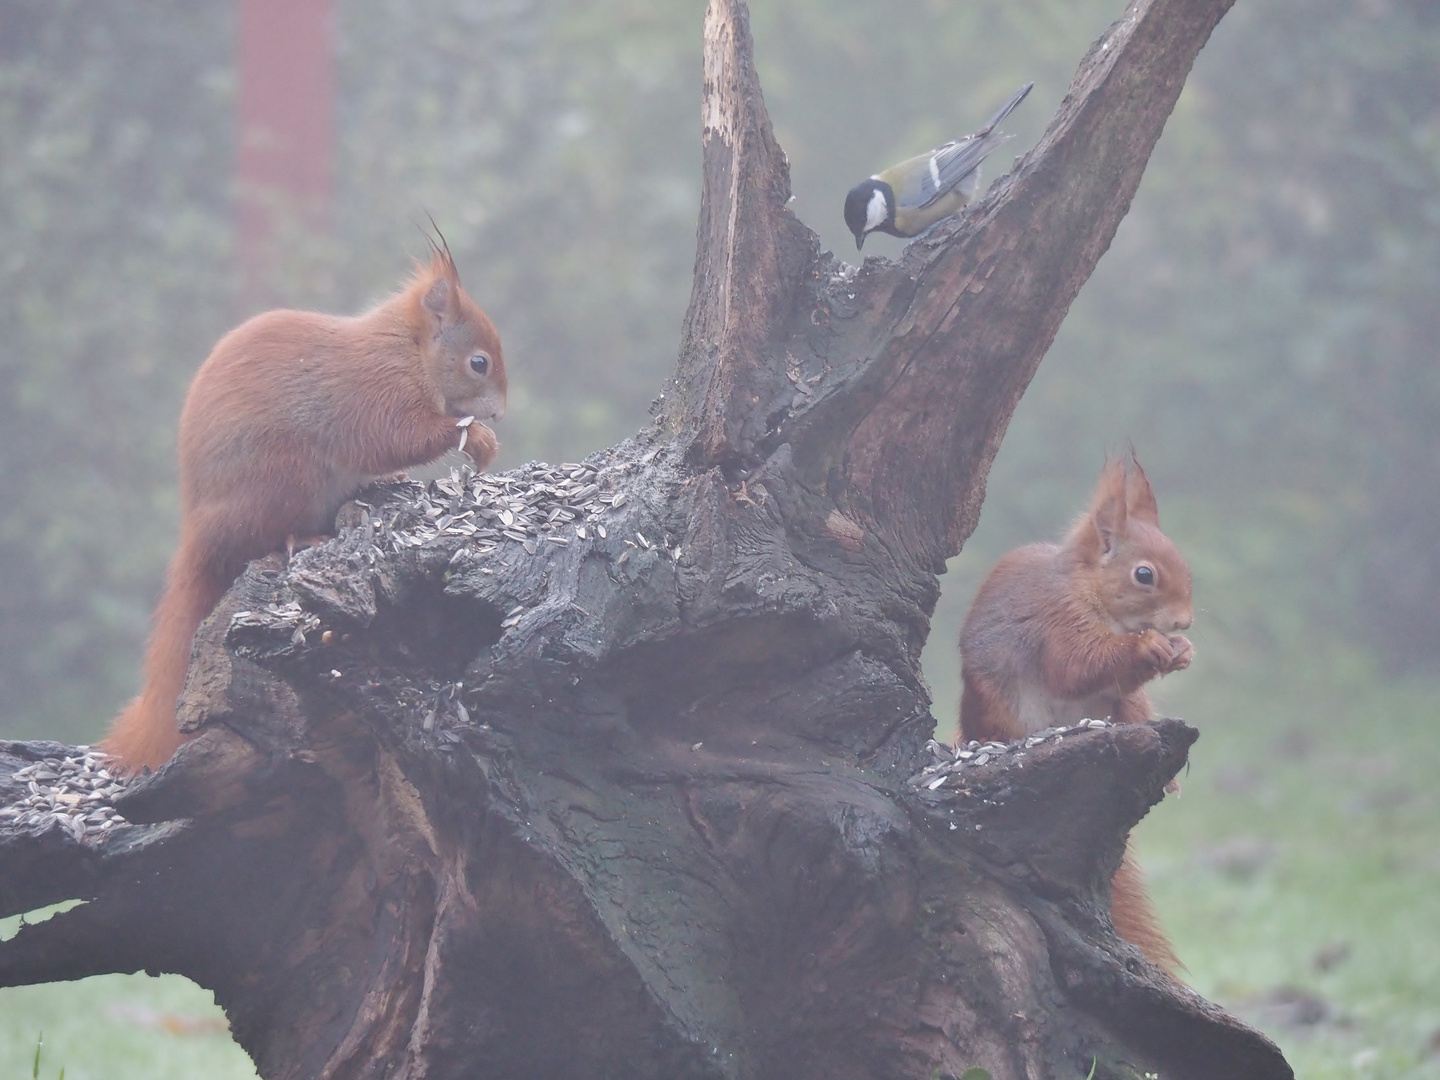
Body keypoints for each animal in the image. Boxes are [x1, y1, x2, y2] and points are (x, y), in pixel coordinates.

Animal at [102, 249, 506, 771]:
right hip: (285, 479)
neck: (408, 348)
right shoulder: (374, 391)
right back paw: (303, 536)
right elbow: (396, 437)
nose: (499, 411)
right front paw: (476, 438)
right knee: (266, 537)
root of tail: (199, 534)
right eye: (479, 363)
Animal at [956, 457, 1192, 973]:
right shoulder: (1054, 621)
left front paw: (1182, 650)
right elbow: (1076, 665)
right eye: (1144, 574)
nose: (1184, 622)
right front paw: (1147, 646)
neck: (1092, 592)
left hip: (1124, 708)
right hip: (1004, 711)